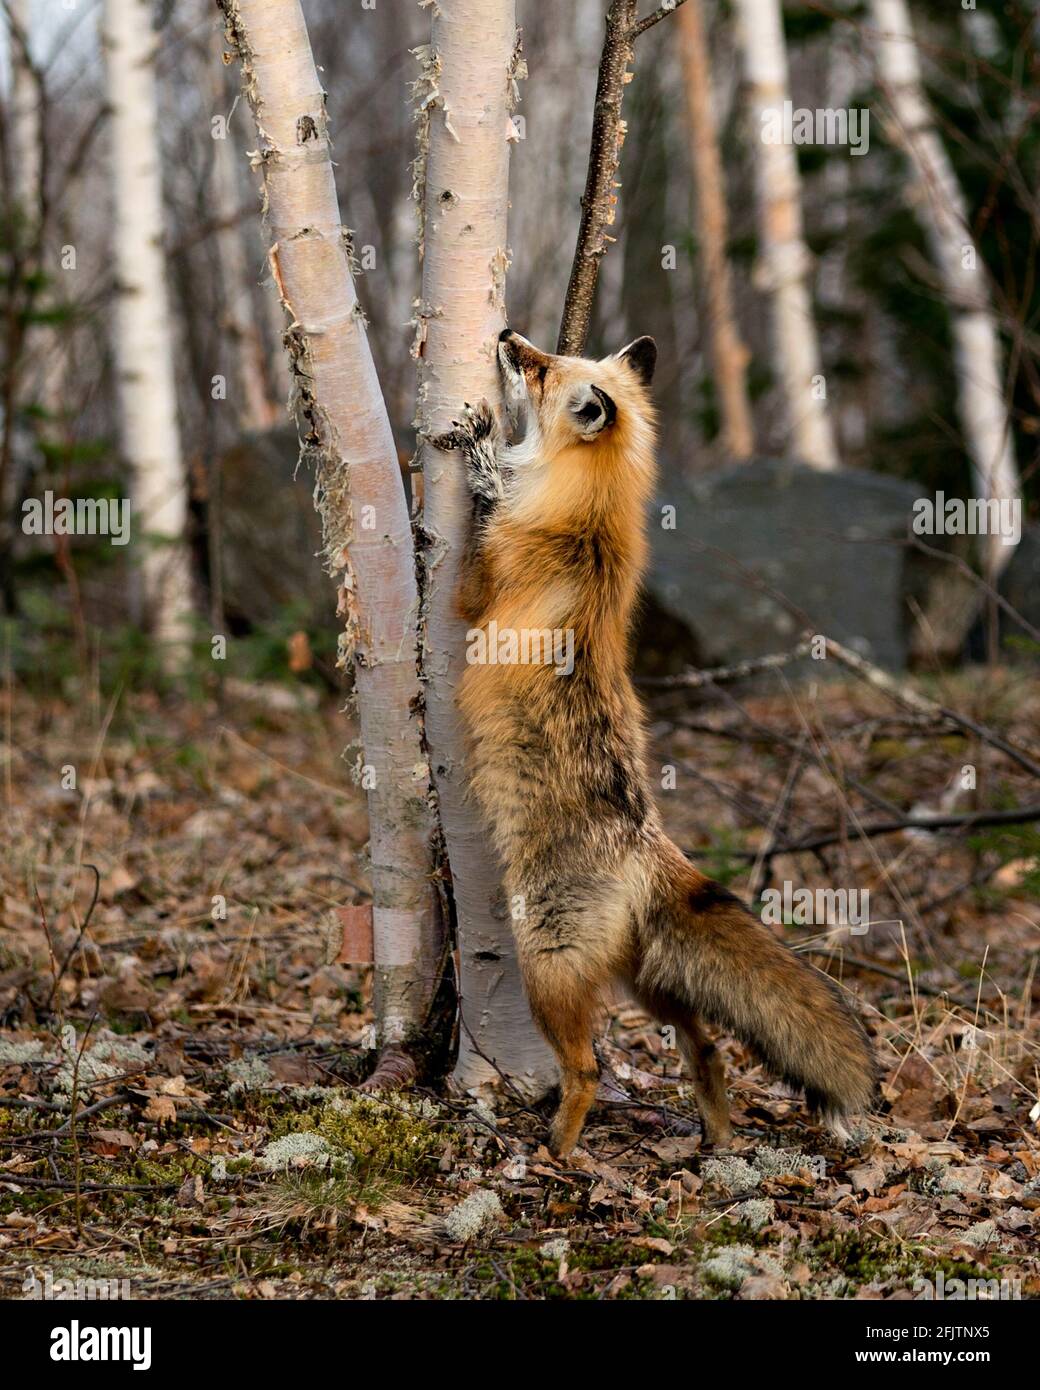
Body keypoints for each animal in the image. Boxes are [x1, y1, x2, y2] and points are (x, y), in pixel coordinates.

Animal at [433, 330, 878, 1156]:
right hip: (647, 982)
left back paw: (558, 1154)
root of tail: (648, 846)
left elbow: (472, 559)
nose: (508, 336)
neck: (587, 515)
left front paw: (479, 459)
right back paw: (718, 1138)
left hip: (550, 968)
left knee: (588, 1069)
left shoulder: (478, 594)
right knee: (706, 1045)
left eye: (539, 369)